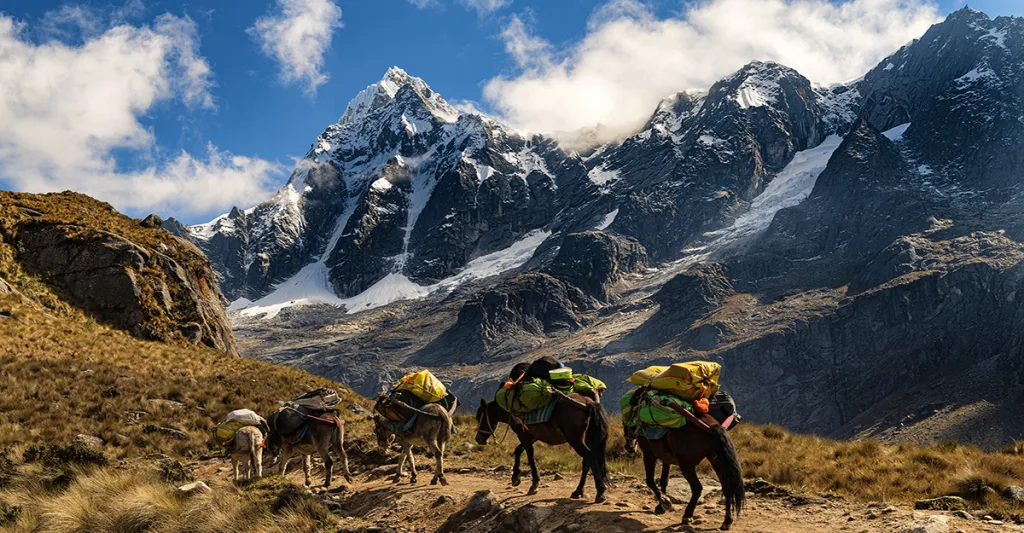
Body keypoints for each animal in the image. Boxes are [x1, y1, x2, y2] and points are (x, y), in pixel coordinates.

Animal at [473, 392, 606, 501]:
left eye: (479, 417)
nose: (478, 439)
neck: (510, 409)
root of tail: (588, 404)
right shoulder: (532, 436)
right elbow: (518, 450)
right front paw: (516, 478)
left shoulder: (524, 435)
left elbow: (530, 458)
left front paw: (534, 485)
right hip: (585, 438)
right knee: (587, 461)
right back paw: (579, 491)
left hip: (575, 439)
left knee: (589, 457)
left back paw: (599, 491)